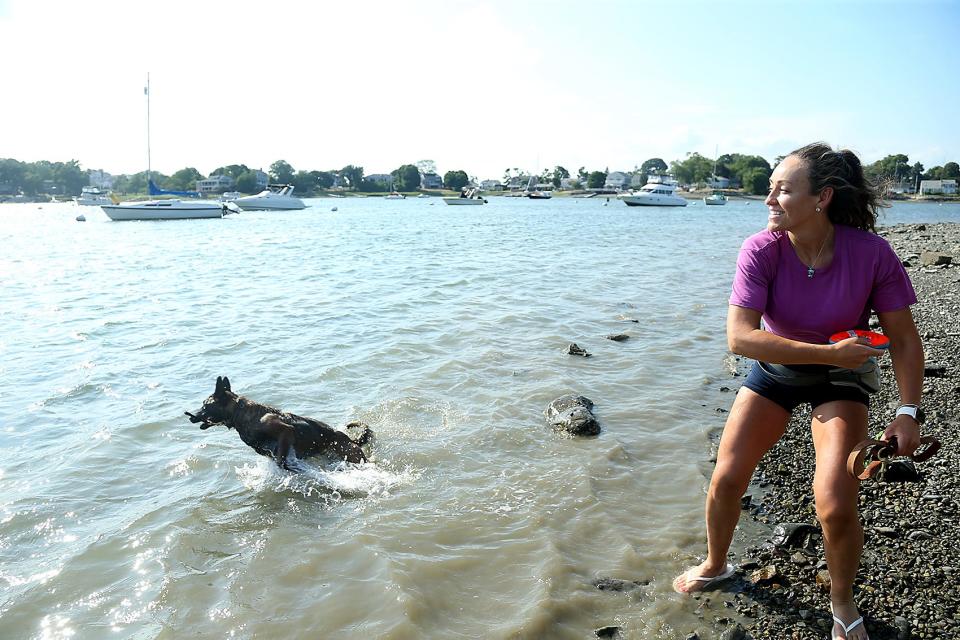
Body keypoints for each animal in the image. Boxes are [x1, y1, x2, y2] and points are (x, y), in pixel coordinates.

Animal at [185, 376, 372, 470]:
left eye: (205, 405)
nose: (191, 417)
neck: (239, 412)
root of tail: (350, 440)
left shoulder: (284, 431)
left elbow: (280, 459)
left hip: (354, 457)